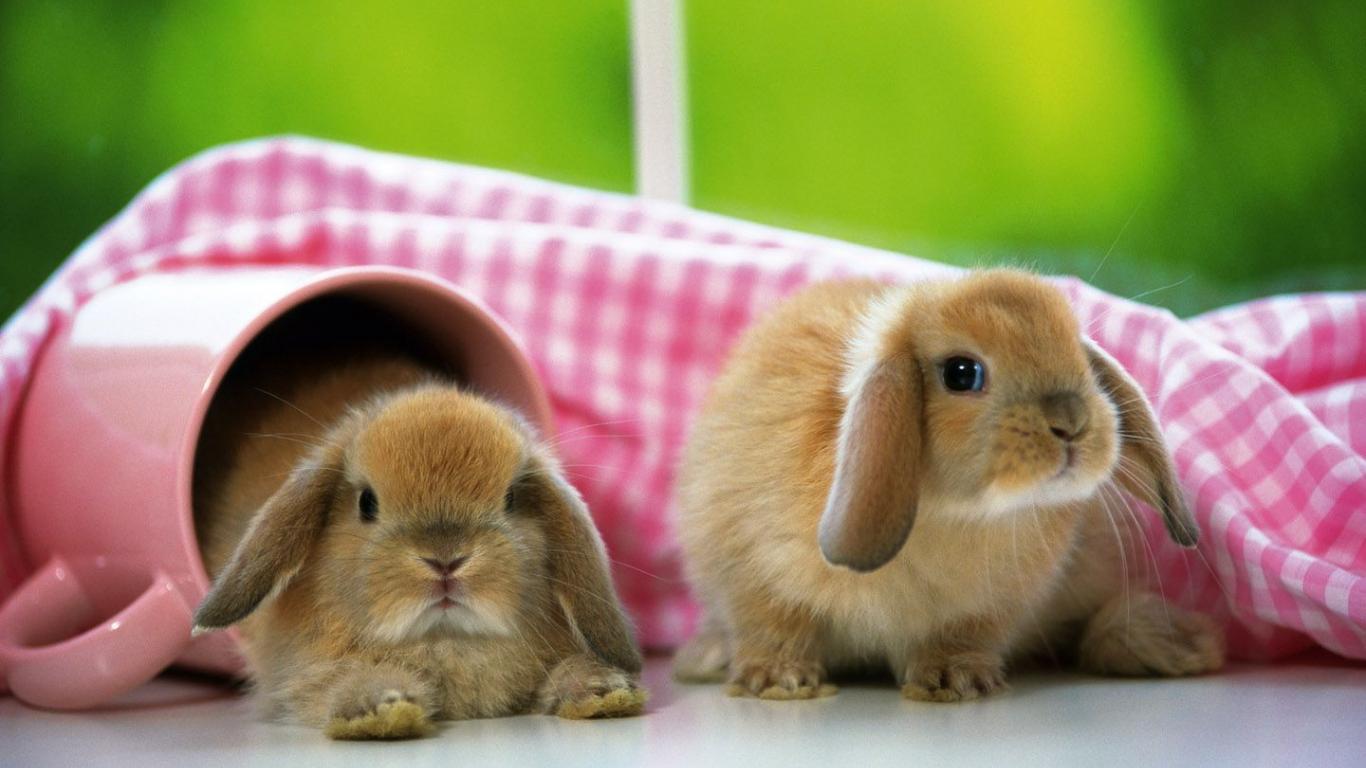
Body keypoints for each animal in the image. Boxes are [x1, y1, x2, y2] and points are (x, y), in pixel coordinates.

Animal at [191, 354, 645, 739]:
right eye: (366, 503)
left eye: (511, 498)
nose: (445, 560)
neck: (445, 639)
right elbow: (339, 685)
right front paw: (381, 708)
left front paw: (604, 690)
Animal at [672, 269, 1224, 702]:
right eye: (961, 373)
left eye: (1080, 360)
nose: (1072, 422)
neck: (952, 513)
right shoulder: (750, 573)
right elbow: (774, 626)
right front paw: (780, 680)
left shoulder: (992, 607)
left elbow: (963, 636)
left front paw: (954, 681)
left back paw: (1174, 646)